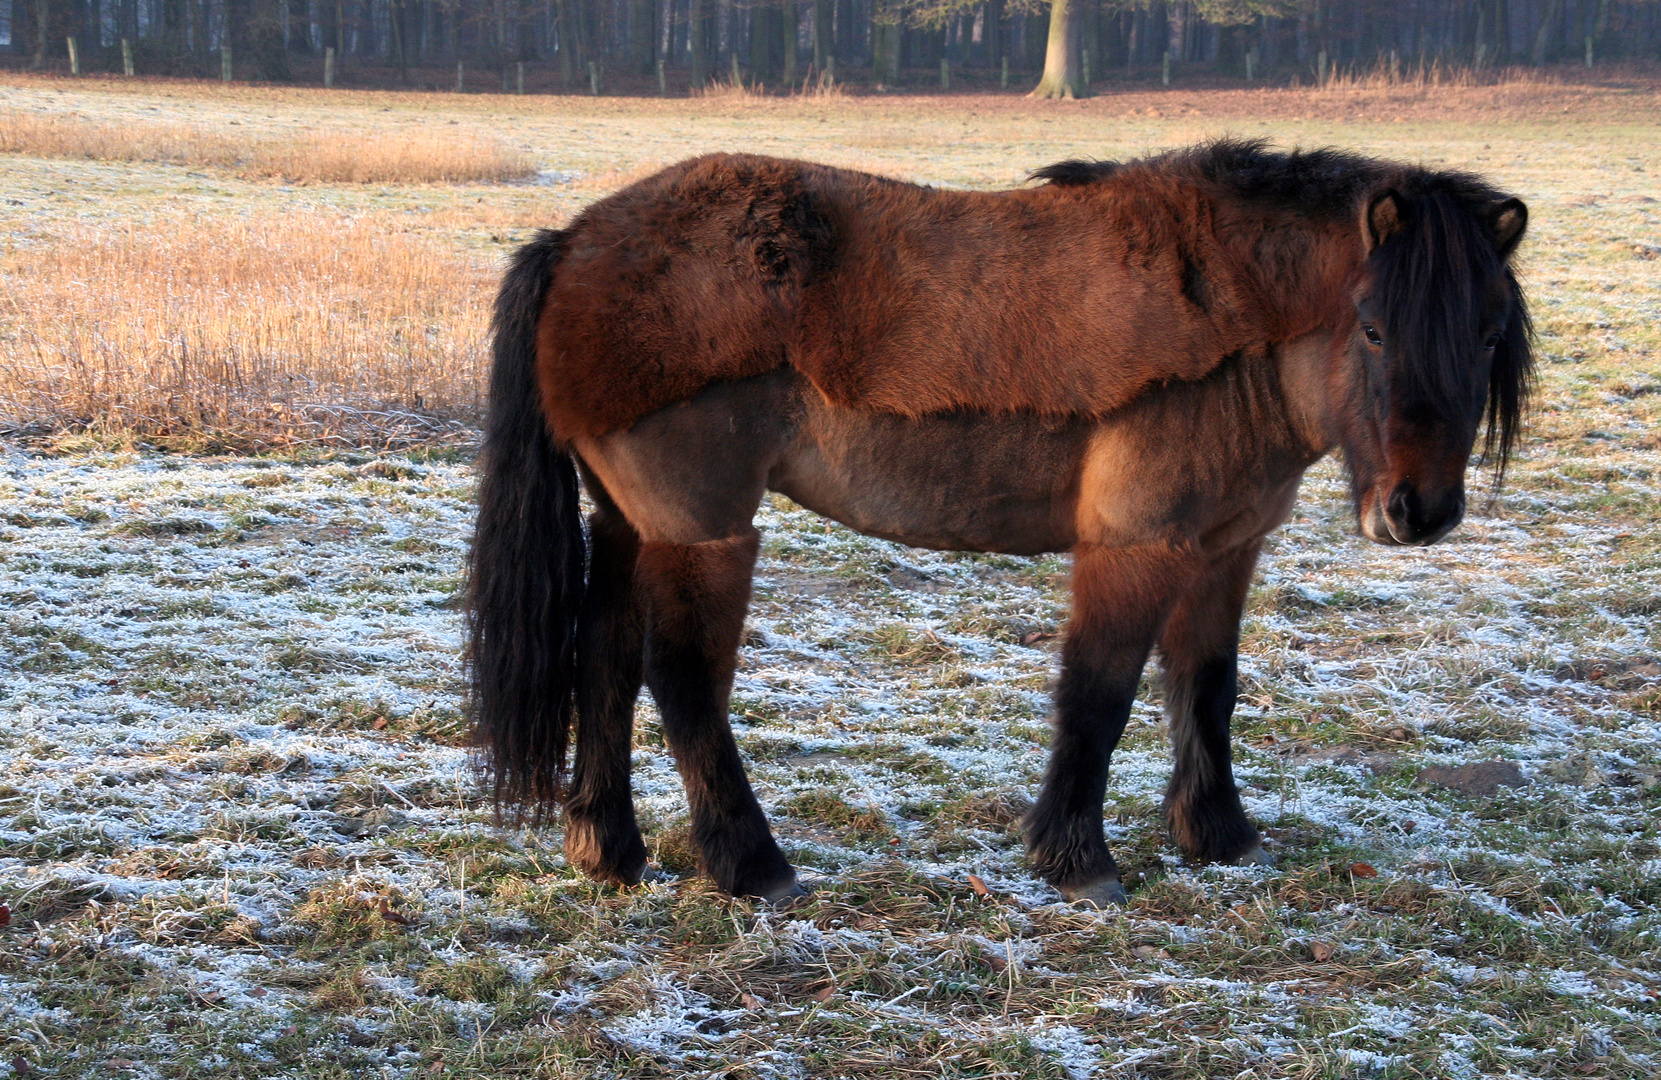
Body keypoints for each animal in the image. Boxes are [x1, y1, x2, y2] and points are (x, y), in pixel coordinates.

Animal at [468, 141, 1528, 897]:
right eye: (1375, 328)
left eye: (1486, 335)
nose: (1420, 511)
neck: (1236, 325)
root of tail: (574, 240)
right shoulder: (1135, 546)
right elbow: (1098, 696)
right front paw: (1075, 858)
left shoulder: (1225, 547)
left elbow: (1206, 689)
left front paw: (1218, 835)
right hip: (703, 533)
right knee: (684, 681)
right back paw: (750, 864)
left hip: (628, 525)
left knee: (603, 662)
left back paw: (608, 848)